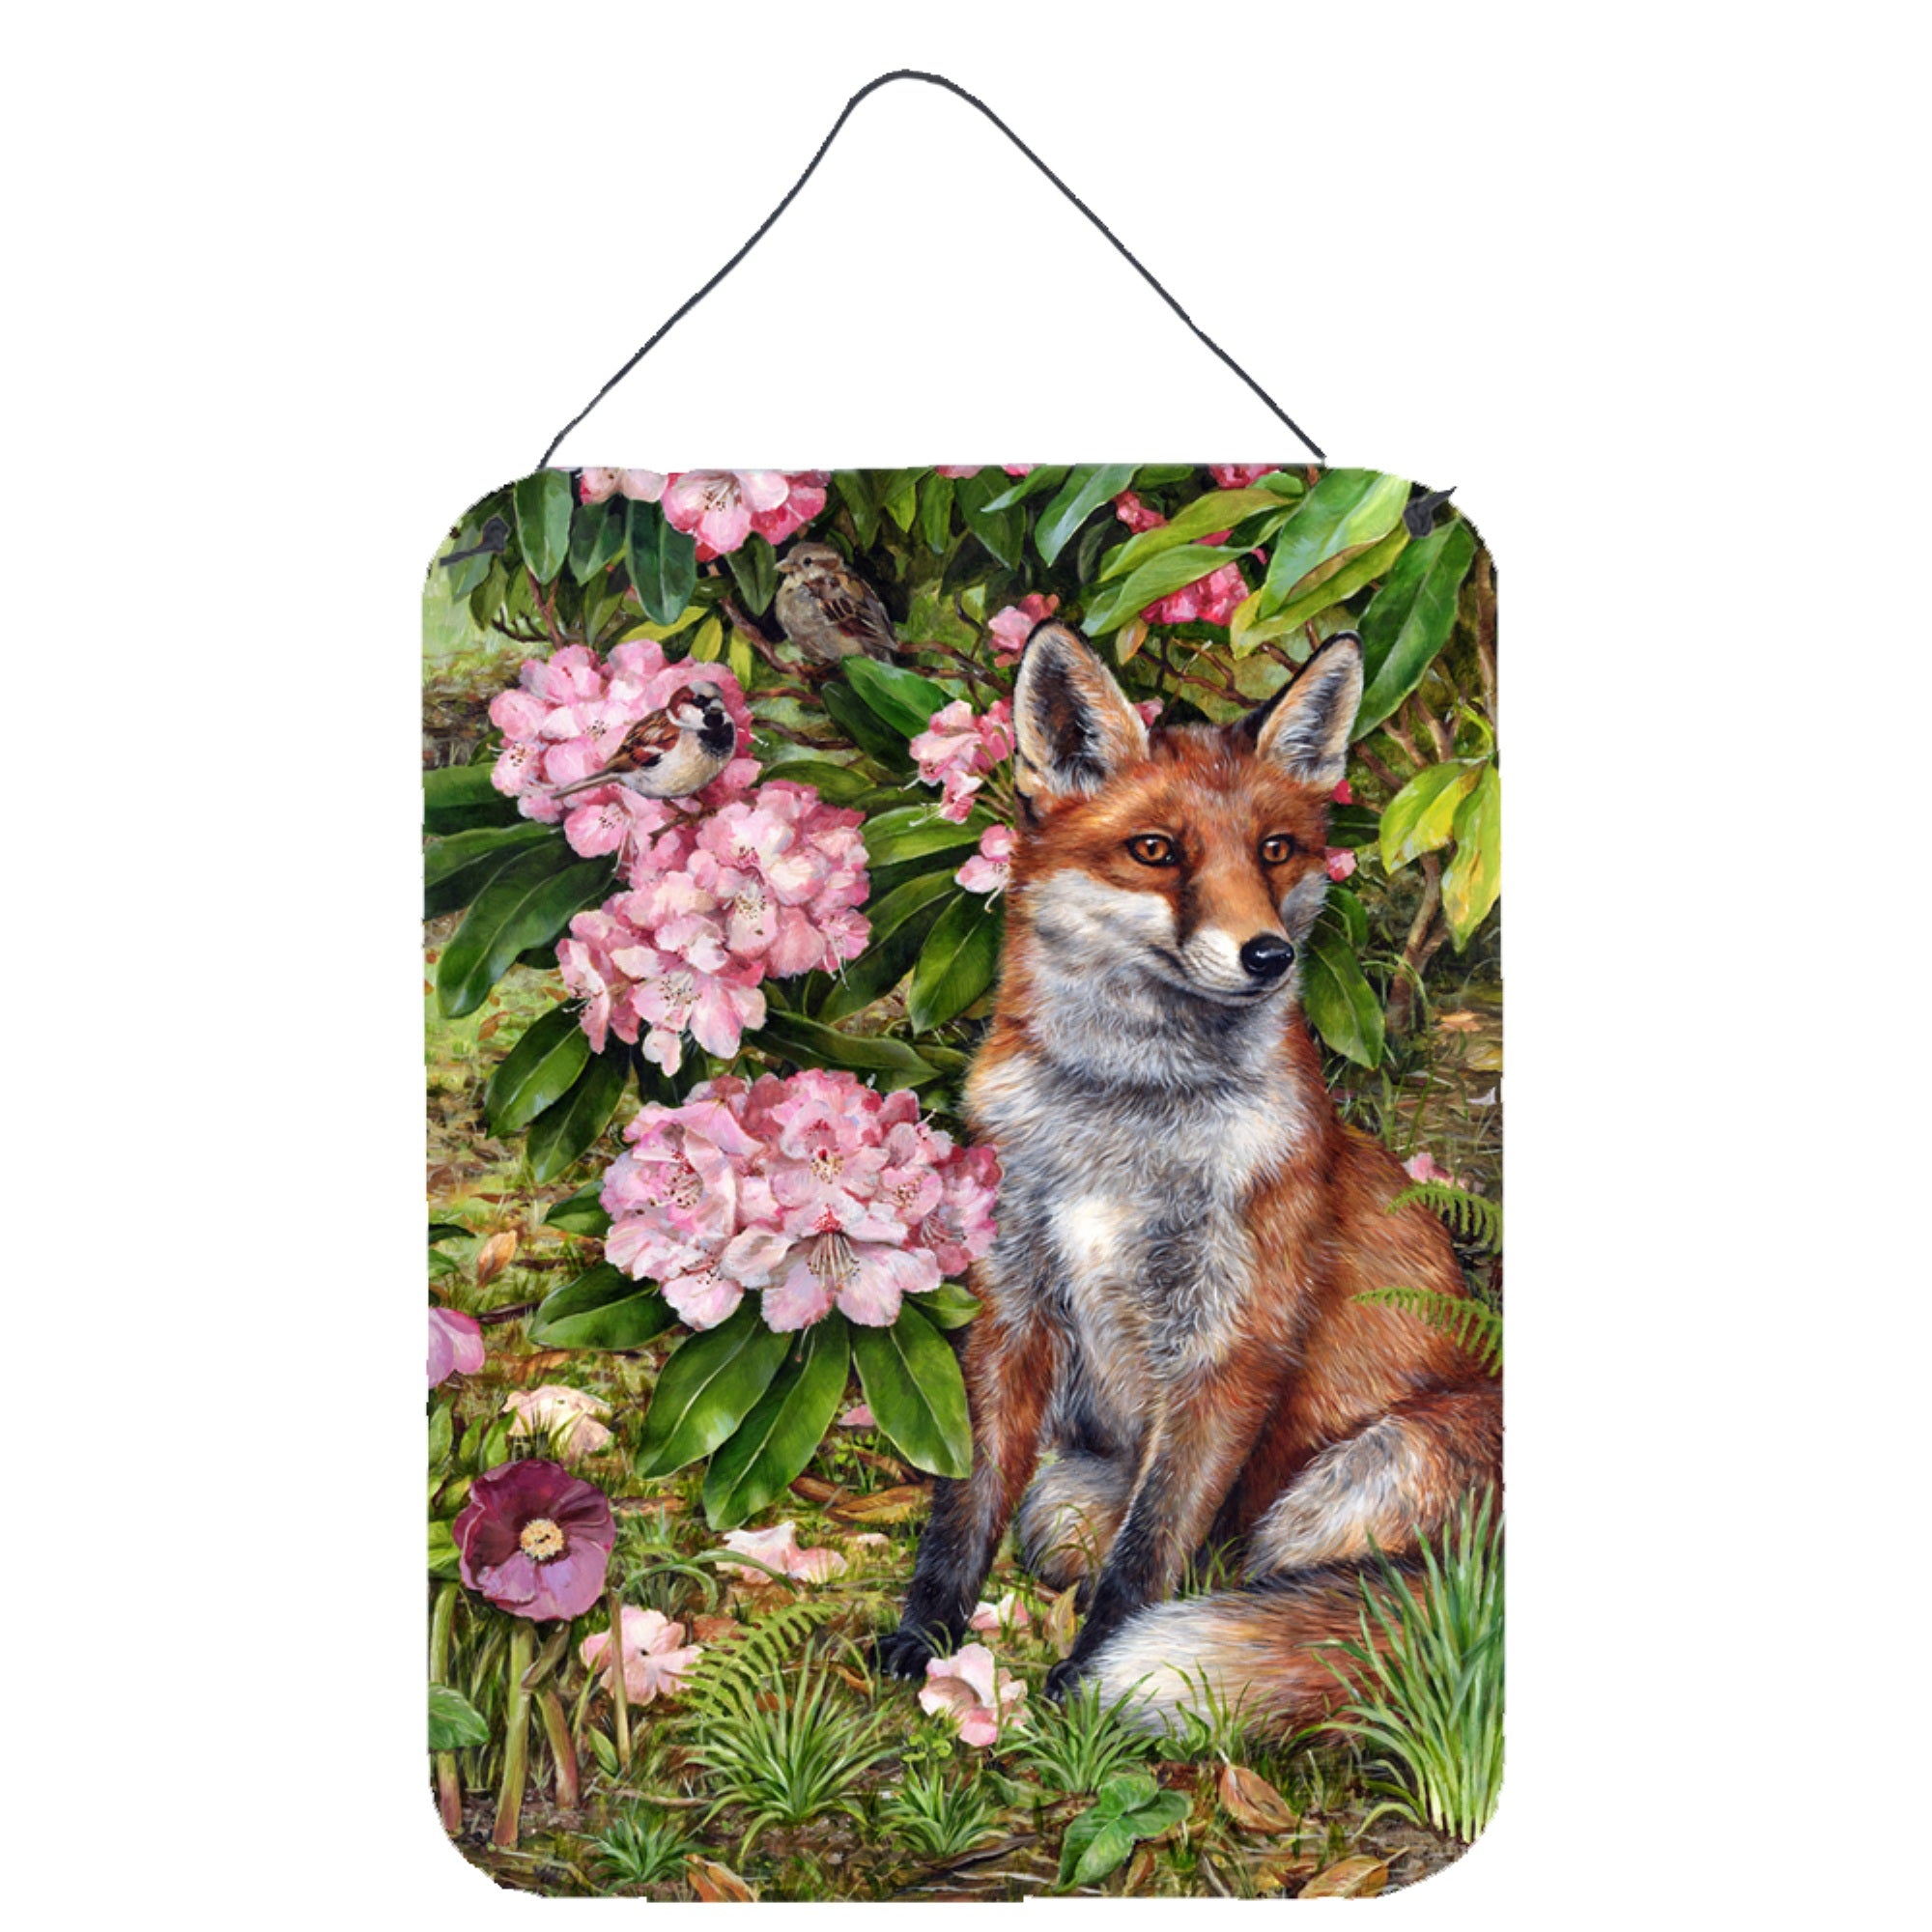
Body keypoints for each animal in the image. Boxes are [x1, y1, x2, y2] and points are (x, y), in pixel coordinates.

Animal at [878, 621, 1501, 1733]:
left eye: (1275, 850)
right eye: (1156, 851)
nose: (1269, 954)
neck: (1122, 1121)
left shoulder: (1232, 1347)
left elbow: (1148, 1553)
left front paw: (1088, 1680)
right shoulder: (1012, 1305)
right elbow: (970, 1500)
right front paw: (929, 1629)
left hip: (1364, 1471)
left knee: (1283, 1580)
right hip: (1085, 1488)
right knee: (1064, 1523)